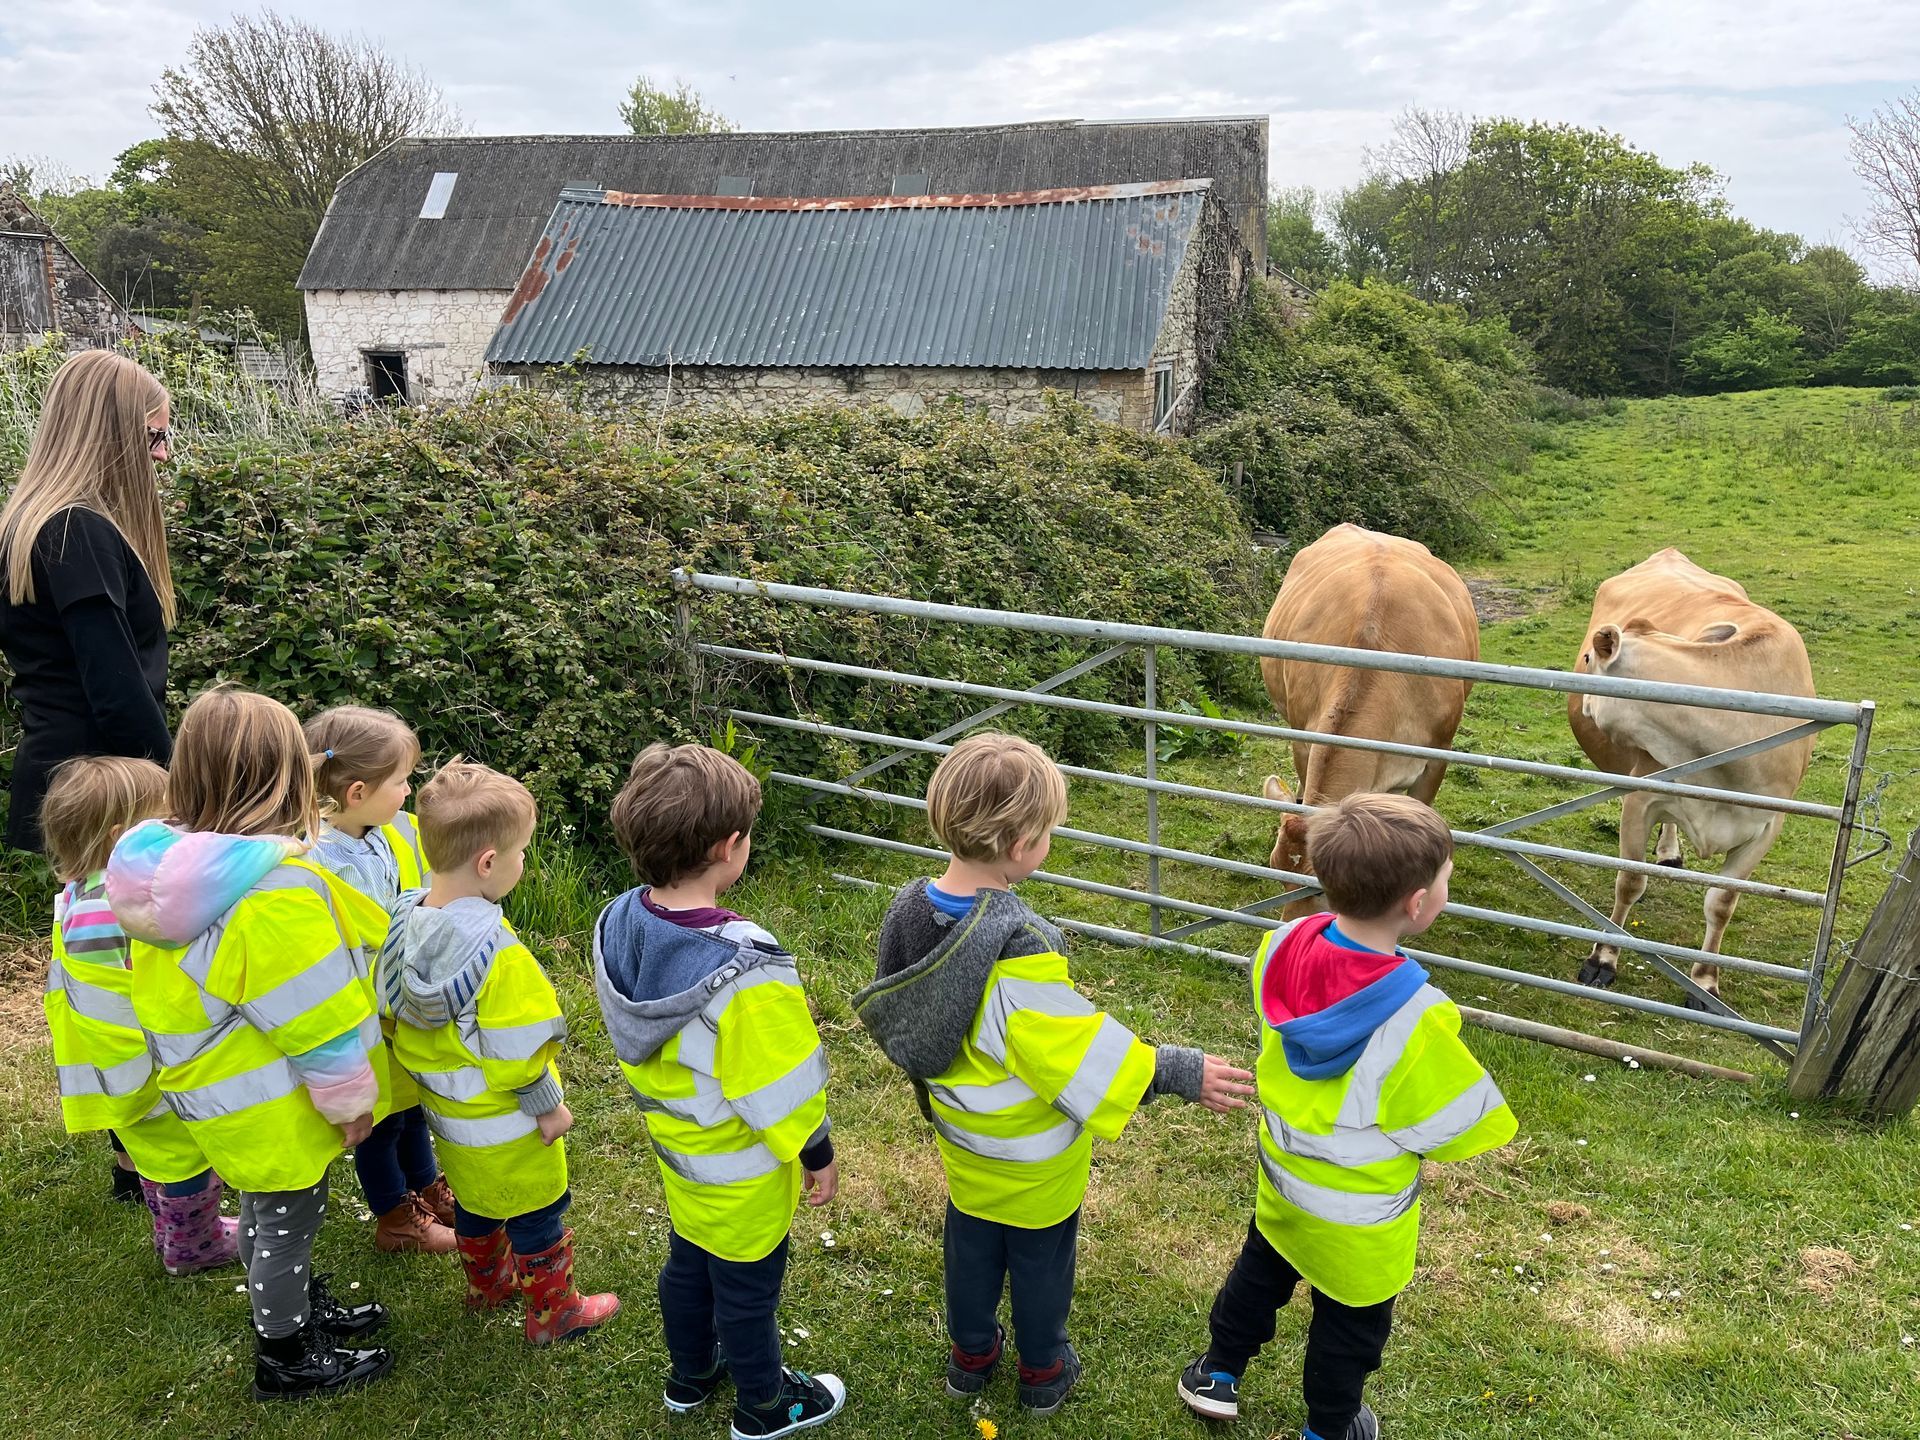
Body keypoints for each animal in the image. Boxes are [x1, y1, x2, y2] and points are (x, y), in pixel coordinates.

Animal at [1569, 548, 1816, 1007]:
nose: (1582, 702)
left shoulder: (1767, 825)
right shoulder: (1642, 796)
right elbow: (1630, 880)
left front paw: (1704, 981)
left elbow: (1722, 902)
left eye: (1589, 659)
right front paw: (1603, 959)